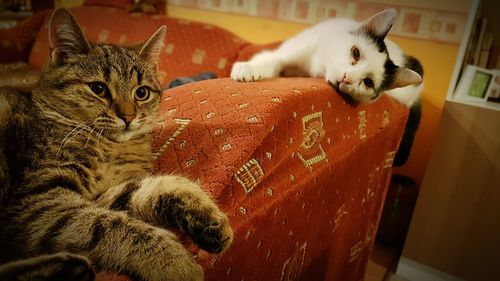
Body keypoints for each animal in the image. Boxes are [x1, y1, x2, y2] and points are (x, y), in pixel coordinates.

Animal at [0, 7, 233, 278]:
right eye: (99, 88)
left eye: (141, 92)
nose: (128, 117)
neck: (110, 147)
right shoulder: (39, 200)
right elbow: (108, 225)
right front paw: (178, 264)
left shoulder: (106, 194)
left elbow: (156, 187)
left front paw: (209, 219)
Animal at [230, 8, 422, 107]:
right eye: (356, 53)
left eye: (368, 82)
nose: (347, 78)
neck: (319, 66)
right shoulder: (289, 53)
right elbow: (272, 59)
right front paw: (247, 69)